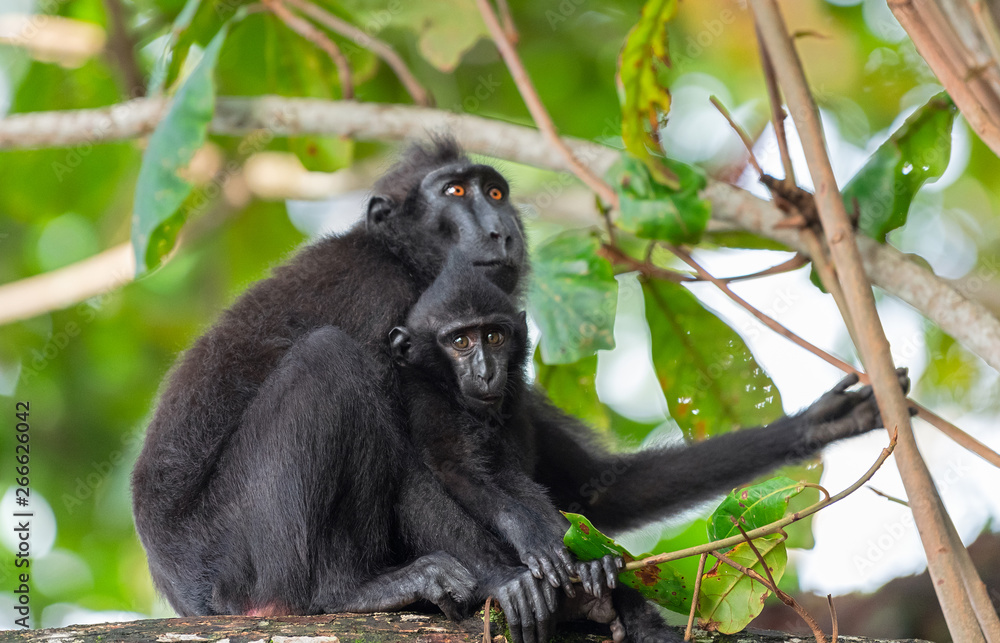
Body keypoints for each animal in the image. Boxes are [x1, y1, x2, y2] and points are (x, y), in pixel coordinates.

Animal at [131, 136, 910, 643]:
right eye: (454, 193)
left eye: (496, 191)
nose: (500, 226)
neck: (402, 258)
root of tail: (180, 587)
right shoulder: (384, 302)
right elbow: (438, 463)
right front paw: (529, 572)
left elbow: (596, 487)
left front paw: (827, 421)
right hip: (235, 555)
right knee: (331, 364)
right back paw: (340, 593)